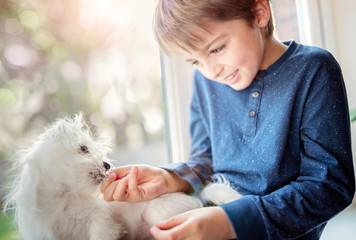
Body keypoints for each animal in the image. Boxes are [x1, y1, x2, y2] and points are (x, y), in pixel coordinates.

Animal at [3, 114, 242, 240]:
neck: (64, 200)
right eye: (83, 148)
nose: (107, 164)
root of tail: (196, 199)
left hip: (159, 214)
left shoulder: (102, 223)